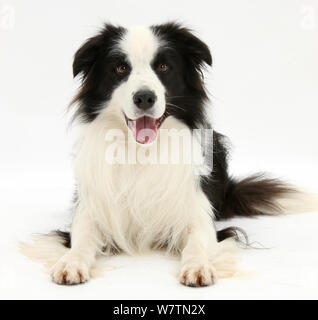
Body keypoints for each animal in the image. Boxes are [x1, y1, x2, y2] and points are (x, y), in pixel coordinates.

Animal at [20, 23, 316, 288]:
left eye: (163, 67)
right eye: (121, 68)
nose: (144, 98)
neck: (141, 152)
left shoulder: (199, 215)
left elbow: (197, 241)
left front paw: (198, 267)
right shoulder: (92, 211)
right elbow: (81, 239)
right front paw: (71, 263)